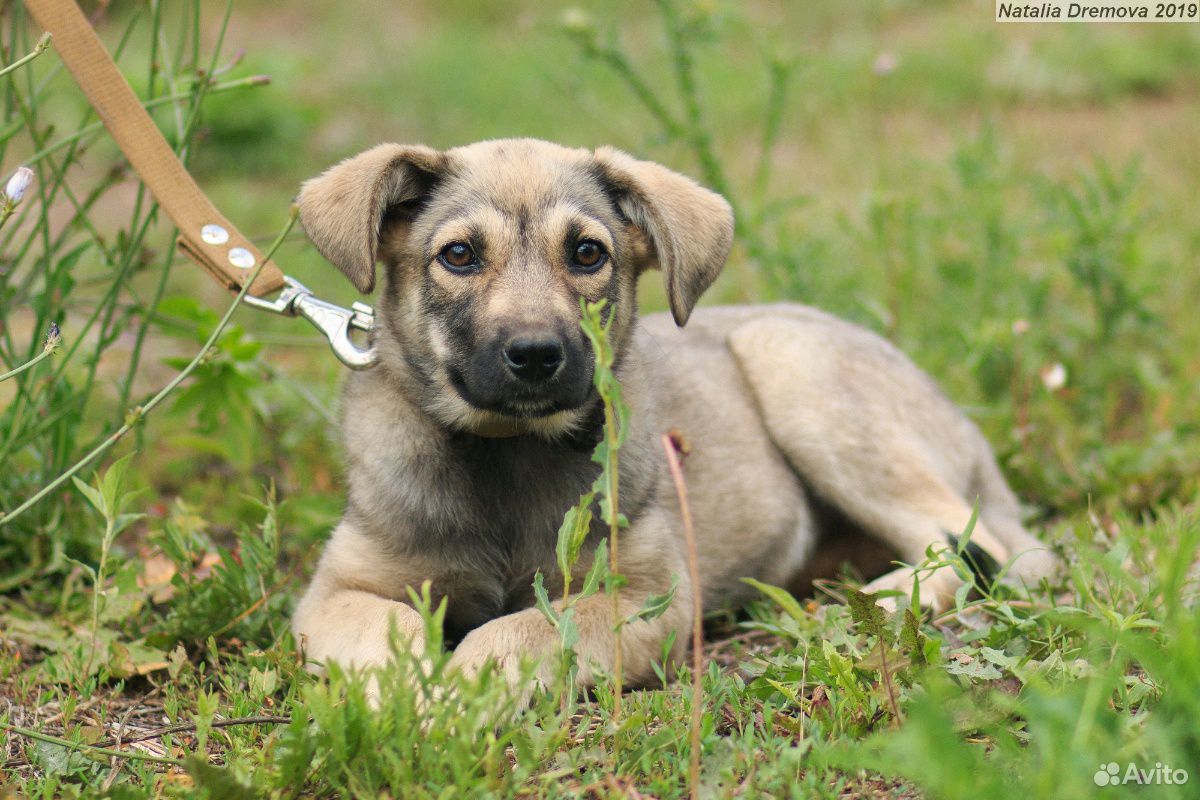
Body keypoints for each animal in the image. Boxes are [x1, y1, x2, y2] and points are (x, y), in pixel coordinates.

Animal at [292, 139, 1060, 695]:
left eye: (587, 252)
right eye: (458, 255)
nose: (536, 355)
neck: (508, 453)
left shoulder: (646, 596)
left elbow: (525, 629)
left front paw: (463, 691)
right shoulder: (338, 592)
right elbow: (388, 633)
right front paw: (410, 694)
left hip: (794, 366)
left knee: (971, 547)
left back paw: (864, 604)